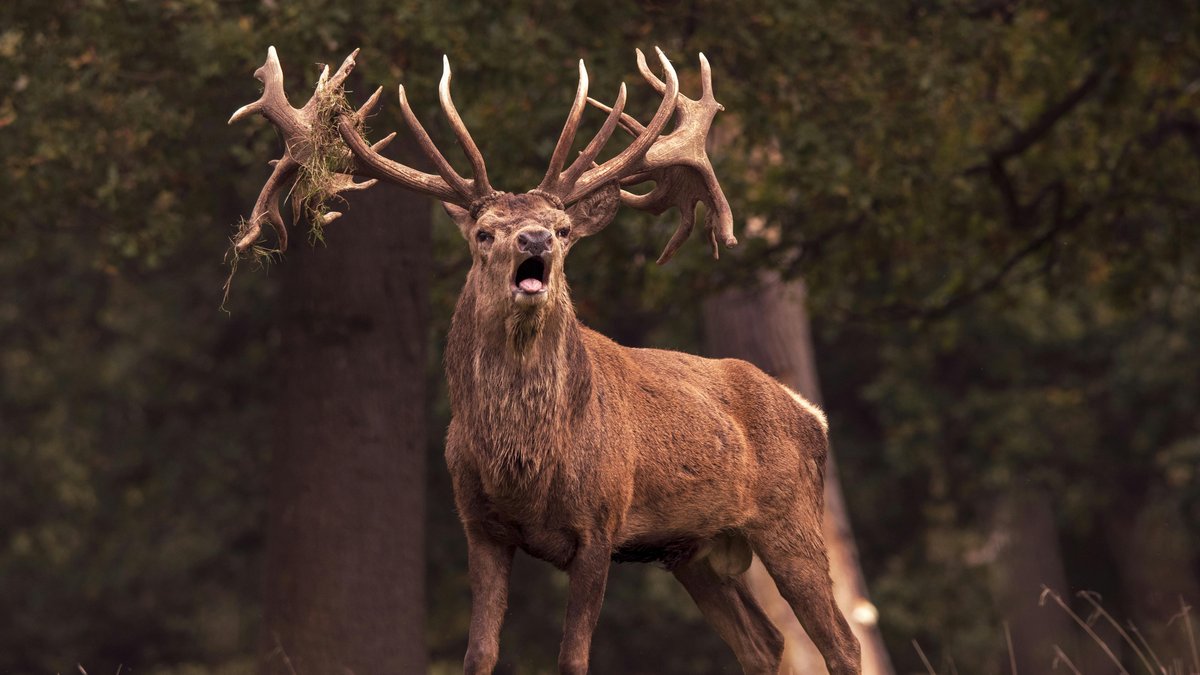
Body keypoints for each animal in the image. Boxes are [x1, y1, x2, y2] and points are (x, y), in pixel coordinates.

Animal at [230, 45, 861, 675]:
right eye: (485, 233)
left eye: (562, 228)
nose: (535, 240)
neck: (524, 468)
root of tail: (811, 412)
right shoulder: (479, 525)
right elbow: (479, 653)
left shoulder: (601, 523)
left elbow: (573, 658)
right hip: (694, 551)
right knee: (765, 641)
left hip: (791, 516)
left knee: (841, 639)